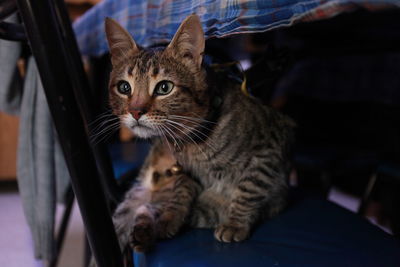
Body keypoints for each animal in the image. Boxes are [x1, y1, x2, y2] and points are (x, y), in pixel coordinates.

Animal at [104, 14, 296, 253]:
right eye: (124, 88)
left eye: (164, 87)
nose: (136, 111)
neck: (192, 141)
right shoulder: (185, 173)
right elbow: (181, 191)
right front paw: (170, 216)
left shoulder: (269, 149)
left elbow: (249, 188)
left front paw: (235, 223)